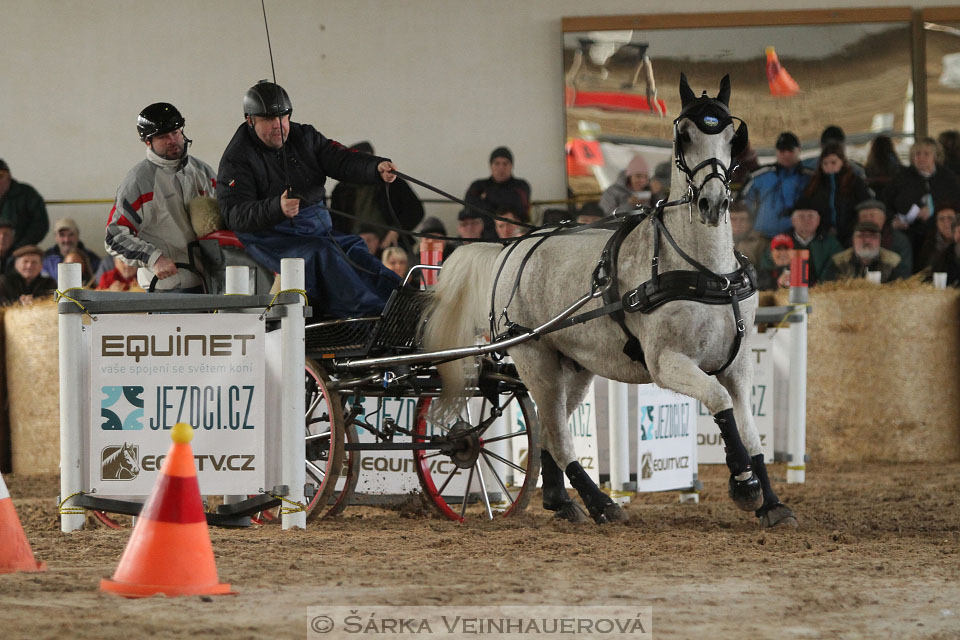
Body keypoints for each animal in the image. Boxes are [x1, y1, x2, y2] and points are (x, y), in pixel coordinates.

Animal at [426, 75, 796, 528]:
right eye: (684, 135)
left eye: (731, 137)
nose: (713, 203)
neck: (707, 272)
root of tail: (511, 248)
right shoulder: (667, 363)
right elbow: (720, 402)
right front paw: (744, 485)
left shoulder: (738, 365)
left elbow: (751, 431)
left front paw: (772, 502)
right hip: (535, 358)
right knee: (557, 433)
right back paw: (600, 502)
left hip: (574, 367)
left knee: (549, 426)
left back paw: (561, 501)